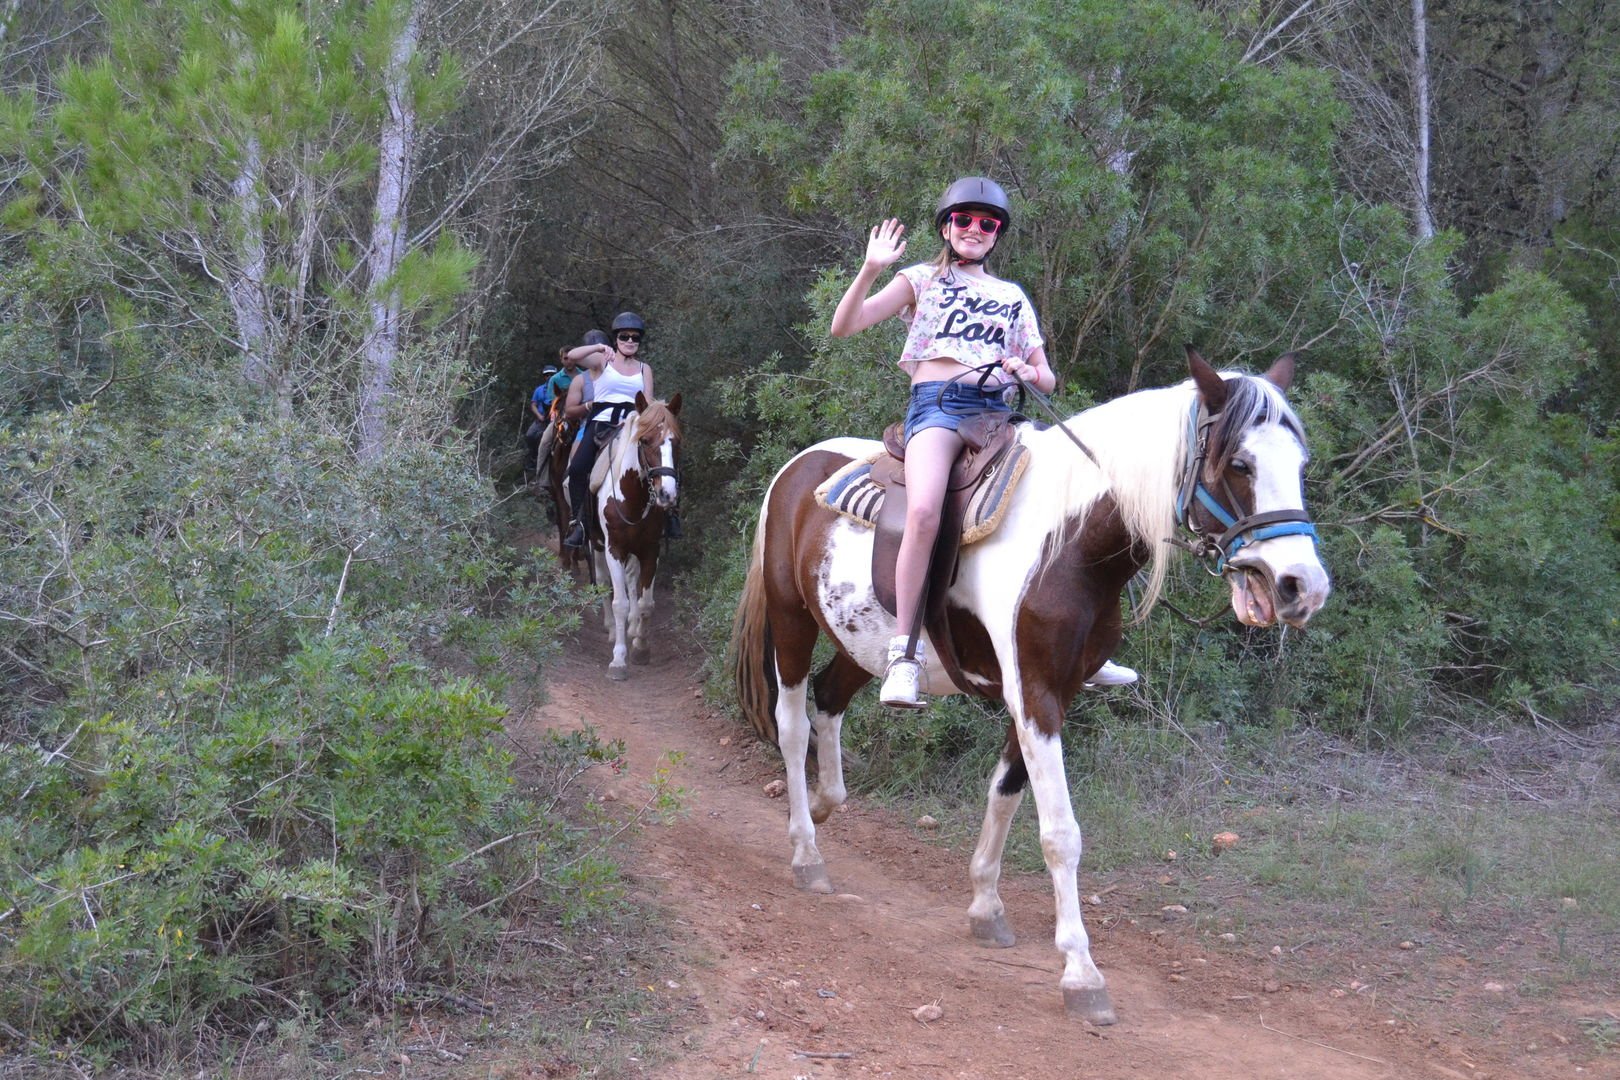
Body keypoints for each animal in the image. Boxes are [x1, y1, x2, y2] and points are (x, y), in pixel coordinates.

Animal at [581, 392, 682, 680]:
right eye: (645, 441)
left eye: (676, 441)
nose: (667, 494)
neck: (632, 498)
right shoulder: (614, 549)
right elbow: (619, 603)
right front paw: (618, 660)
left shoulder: (650, 550)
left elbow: (646, 602)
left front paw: (640, 647)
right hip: (597, 545)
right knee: (604, 582)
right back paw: (611, 629)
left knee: (631, 580)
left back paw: (632, 628)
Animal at [729, 348, 1331, 1024]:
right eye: (1240, 465)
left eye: (1300, 464)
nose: (1303, 586)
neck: (1067, 544)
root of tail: (797, 467)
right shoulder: (1035, 693)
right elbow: (1060, 834)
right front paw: (1082, 972)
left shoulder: (1049, 693)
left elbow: (1004, 793)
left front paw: (986, 907)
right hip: (791, 623)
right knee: (793, 724)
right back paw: (806, 851)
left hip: (863, 642)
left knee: (831, 701)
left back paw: (827, 803)